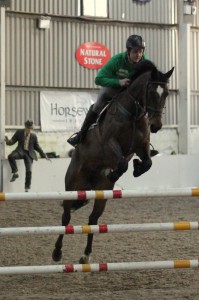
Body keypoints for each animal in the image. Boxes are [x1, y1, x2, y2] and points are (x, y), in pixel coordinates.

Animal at [51, 59, 174, 264]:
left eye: (165, 93)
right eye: (150, 92)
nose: (156, 126)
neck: (133, 114)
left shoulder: (141, 147)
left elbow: (147, 163)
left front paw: (136, 168)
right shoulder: (109, 143)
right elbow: (122, 163)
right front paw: (115, 172)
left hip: (102, 194)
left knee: (93, 220)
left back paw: (86, 255)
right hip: (73, 187)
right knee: (66, 218)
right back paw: (57, 252)